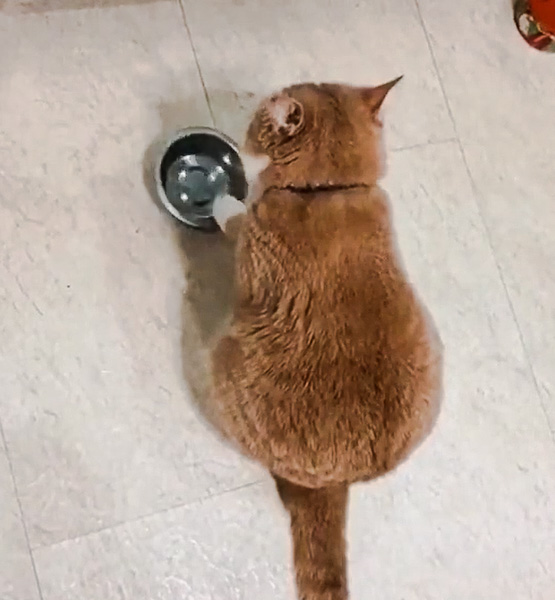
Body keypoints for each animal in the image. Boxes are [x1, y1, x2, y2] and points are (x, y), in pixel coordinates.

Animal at [208, 81, 444, 600]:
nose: (259, 99)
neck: (327, 191)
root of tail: (336, 483)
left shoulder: (248, 243)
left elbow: (232, 219)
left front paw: (219, 201)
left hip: (223, 359)